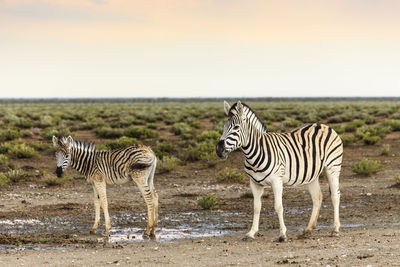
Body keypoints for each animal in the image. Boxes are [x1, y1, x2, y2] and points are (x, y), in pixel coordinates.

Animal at [216, 101, 344, 243]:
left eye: (236, 127)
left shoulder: (276, 180)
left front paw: (282, 235)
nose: (219, 149)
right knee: (317, 197)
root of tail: (322, 125)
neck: (254, 152)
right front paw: (251, 233)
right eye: (224, 126)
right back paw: (308, 230)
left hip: (333, 167)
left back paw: (335, 230)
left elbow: (278, 206)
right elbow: (256, 207)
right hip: (312, 174)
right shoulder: (254, 183)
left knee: (335, 196)